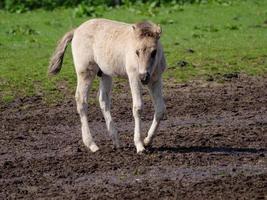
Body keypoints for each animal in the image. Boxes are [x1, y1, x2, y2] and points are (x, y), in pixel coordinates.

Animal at [48, 18, 165, 153]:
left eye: (154, 52)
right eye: (136, 52)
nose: (144, 77)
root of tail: (76, 30)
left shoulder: (156, 80)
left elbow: (160, 109)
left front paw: (147, 141)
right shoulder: (133, 77)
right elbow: (138, 108)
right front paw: (140, 145)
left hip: (105, 74)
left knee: (103, 100)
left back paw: (115, 140)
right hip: (86, 72)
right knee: (81, 100)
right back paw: (92, 144)